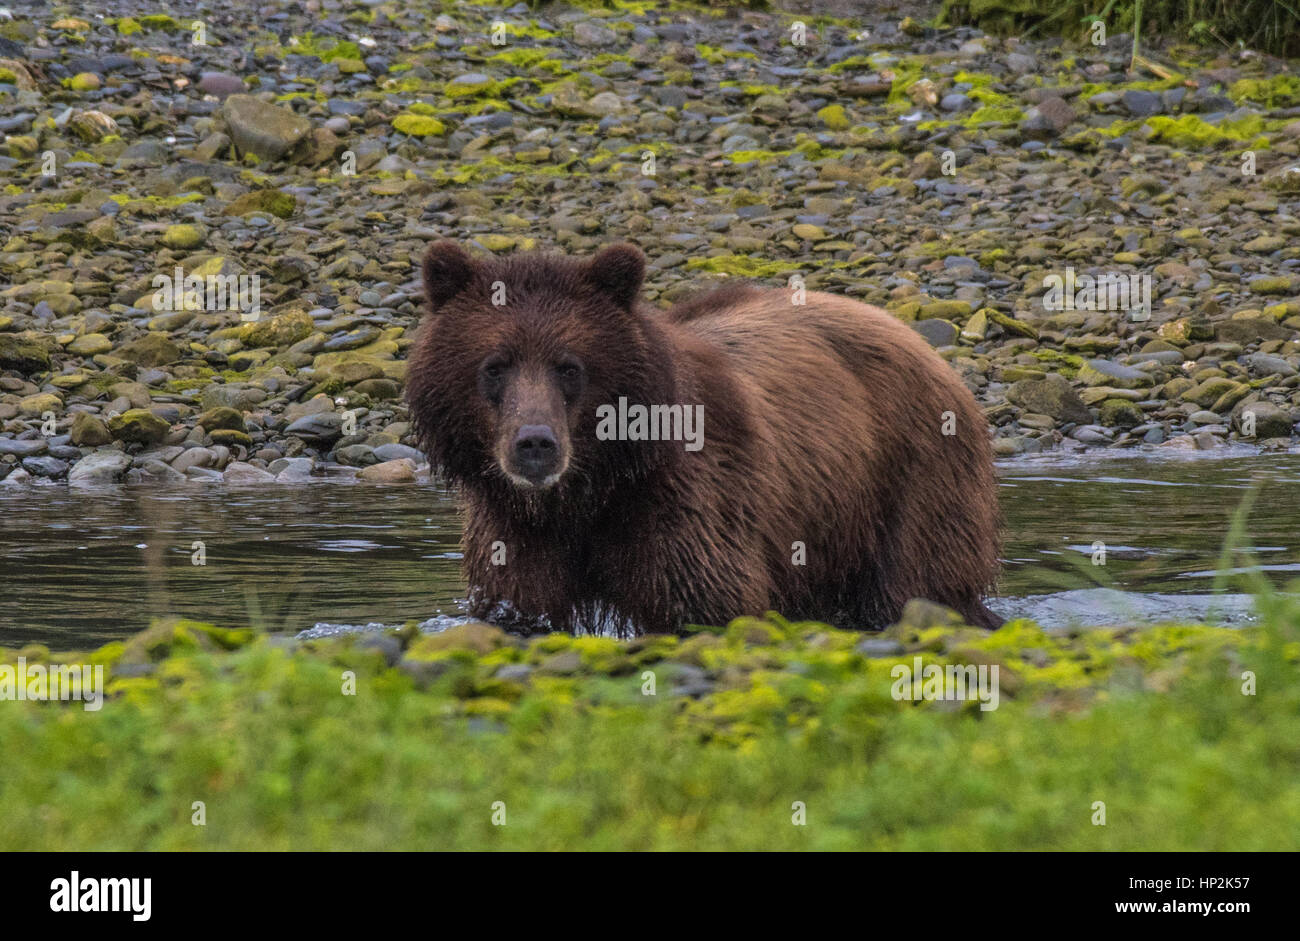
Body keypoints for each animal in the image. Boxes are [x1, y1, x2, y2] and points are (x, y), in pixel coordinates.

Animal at [405, 241, 1001, 635]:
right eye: (495, 366)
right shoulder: (515, 532)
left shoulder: (691, 500)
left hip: (908, 476)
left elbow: (703, 602)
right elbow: (517, 607)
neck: (592, 491)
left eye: (569, 367)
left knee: (918, 582)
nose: (535, 444)